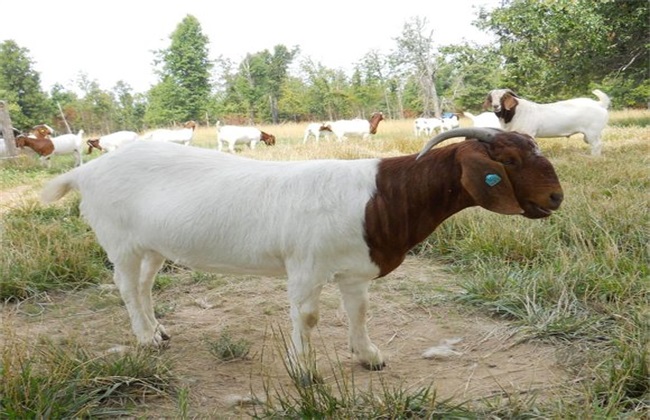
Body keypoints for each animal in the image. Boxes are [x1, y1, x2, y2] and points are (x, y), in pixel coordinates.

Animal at [40, 128, 560, 380]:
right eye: (508, 161)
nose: (556, 198)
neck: (380, 196)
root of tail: (85, 173)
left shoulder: (355, 271)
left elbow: (359, 312)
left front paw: (369, 357)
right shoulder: (307, 267)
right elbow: (308, 318)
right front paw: (304, 371)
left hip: (152, 245)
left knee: (145, 286)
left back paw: (159, 330)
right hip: (121, 242)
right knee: (127, 288)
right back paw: (146, 339)